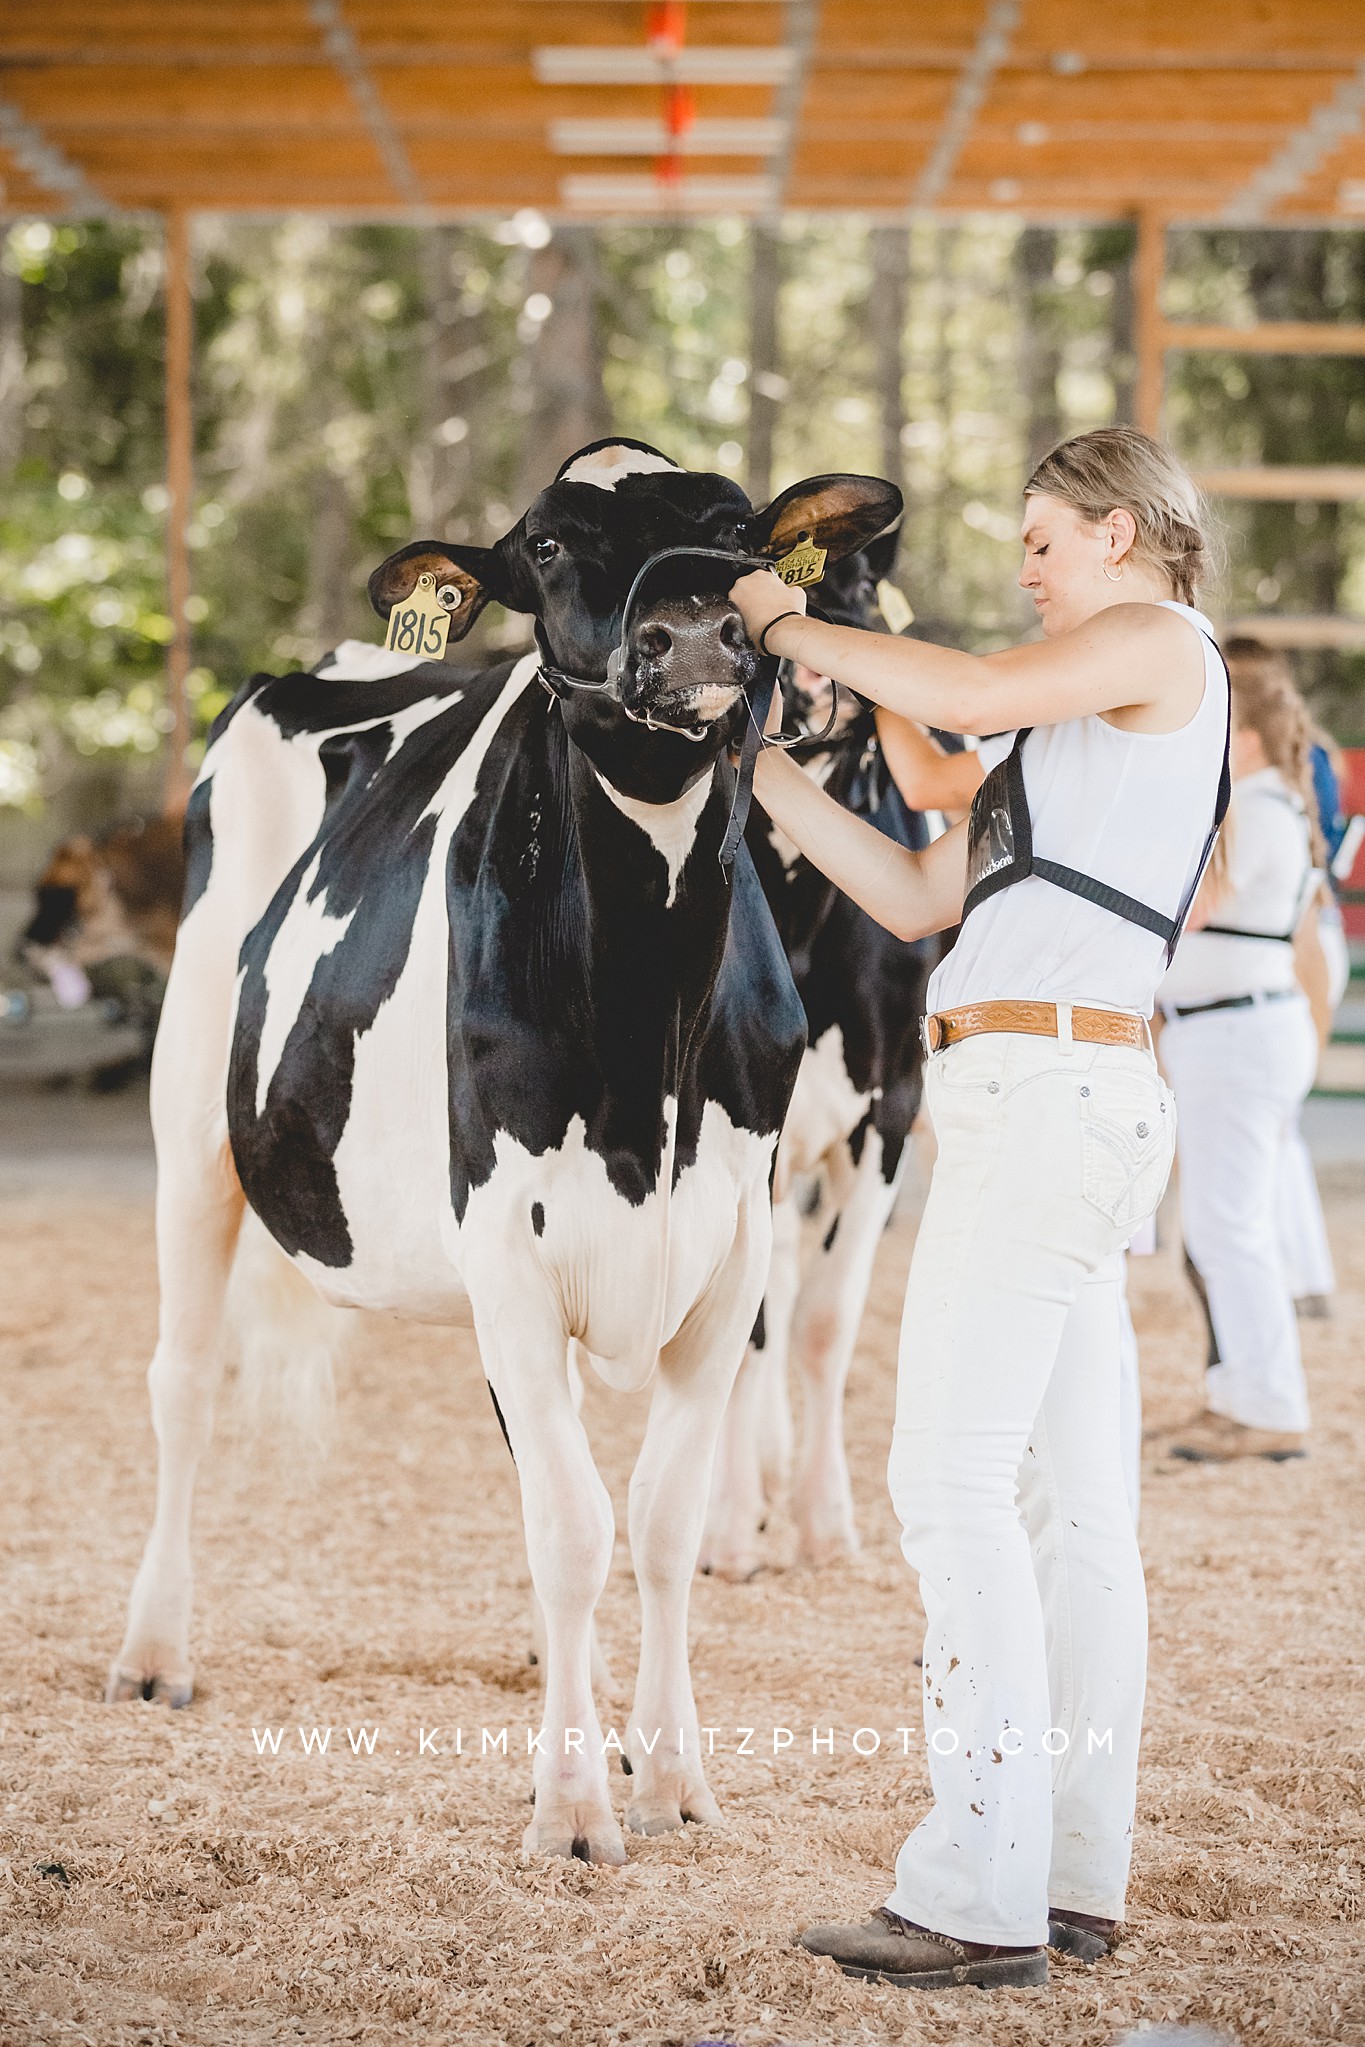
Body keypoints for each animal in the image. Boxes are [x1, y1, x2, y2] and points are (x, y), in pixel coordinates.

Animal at [104, 440, 896, 1866]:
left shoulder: (732, 1249)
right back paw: (153, 1650)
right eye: (543, 545)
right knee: (183, 1382)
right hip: (191, 1117)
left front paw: (671, 1773)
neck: (648, 1047)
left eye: (740, 527)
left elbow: (657, 1519)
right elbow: (577, 1527)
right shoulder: (511, 1251)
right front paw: (575, 1807)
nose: (693, 628)